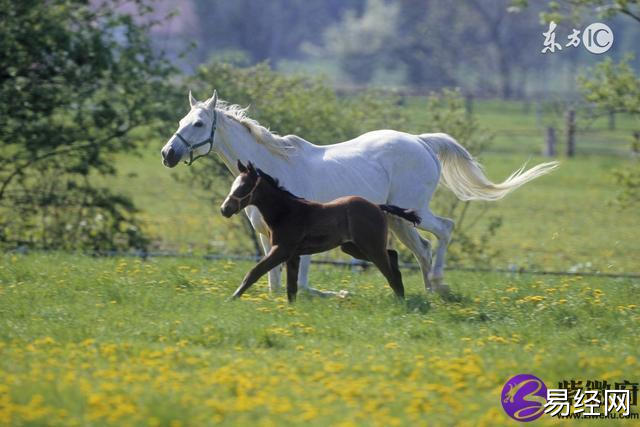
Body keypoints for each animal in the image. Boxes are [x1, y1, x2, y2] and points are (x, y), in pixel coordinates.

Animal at [220, 161, 420, 304]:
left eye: (243, 187)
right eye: (233, 185)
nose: (224, 209)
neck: (286, 212)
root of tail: (377, 206)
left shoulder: (281, 250)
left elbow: (254, 272)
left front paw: (232, 298)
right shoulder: (293, 255)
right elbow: (291, 286)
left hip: (370, 247)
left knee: (390, 270)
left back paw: (400, 301)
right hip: (353, 248)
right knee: (392, 255)